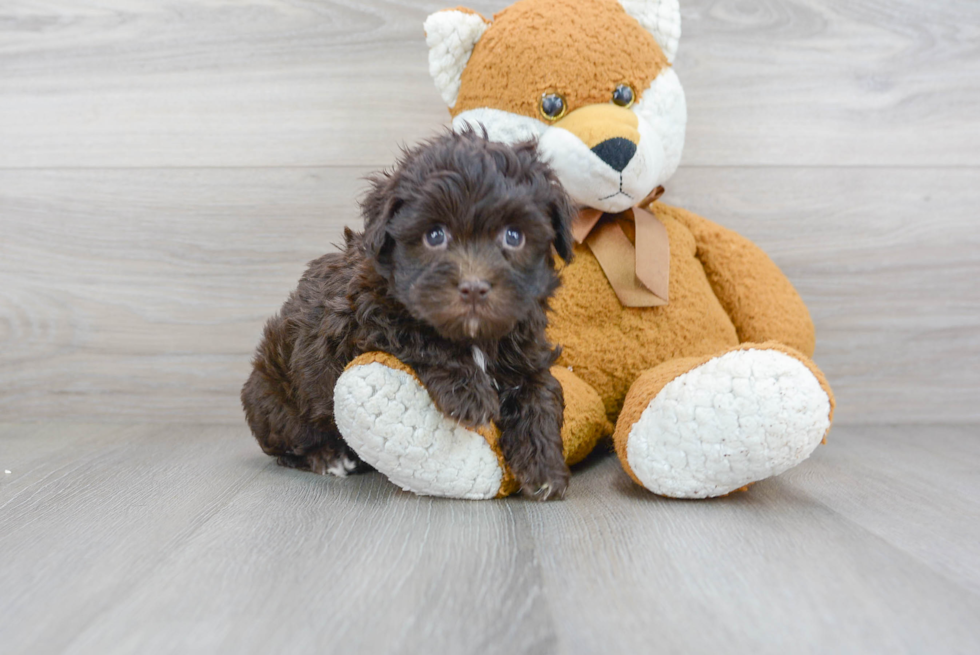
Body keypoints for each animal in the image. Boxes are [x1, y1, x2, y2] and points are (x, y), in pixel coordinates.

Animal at [241, 133, 576, 502]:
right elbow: (422, 337)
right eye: (435, 235)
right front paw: (470, 394)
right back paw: (328, 457)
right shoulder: (360, 318)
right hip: (275, 398)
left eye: (513, 236)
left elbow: (540, 392)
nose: (474, 288)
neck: (474, 335)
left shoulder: (524, 346)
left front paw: (544, 467)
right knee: (287, 445)